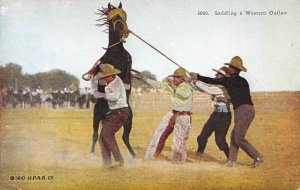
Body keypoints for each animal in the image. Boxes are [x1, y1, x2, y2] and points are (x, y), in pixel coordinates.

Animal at [81, 2, 135, 158]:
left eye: (122, 17)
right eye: (113, 19)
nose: (121, 30)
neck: (116, 54)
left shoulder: (128, 67)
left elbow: (125, 79)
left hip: (128, 120)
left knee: (124, 137)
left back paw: (134, 155)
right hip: (96, 116)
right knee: (95, 134)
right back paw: (92, 153)